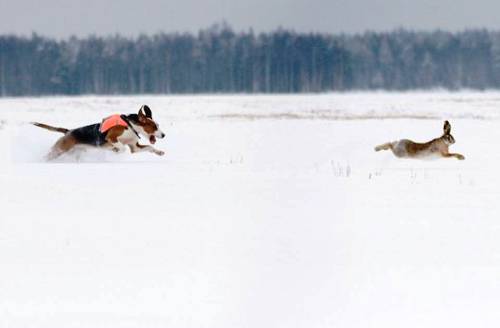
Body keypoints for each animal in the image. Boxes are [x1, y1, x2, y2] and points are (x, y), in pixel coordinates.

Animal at [32, 105, 166, 160]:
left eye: (158, 125)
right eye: (154, 126)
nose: (164, 135)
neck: (131, 126)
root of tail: (68, 131)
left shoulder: (135, 147)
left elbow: (149, 147)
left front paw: (159, 152)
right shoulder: (111, 137)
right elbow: (121, 147)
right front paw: (116, 150)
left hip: (74, 152)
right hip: (59, 150)